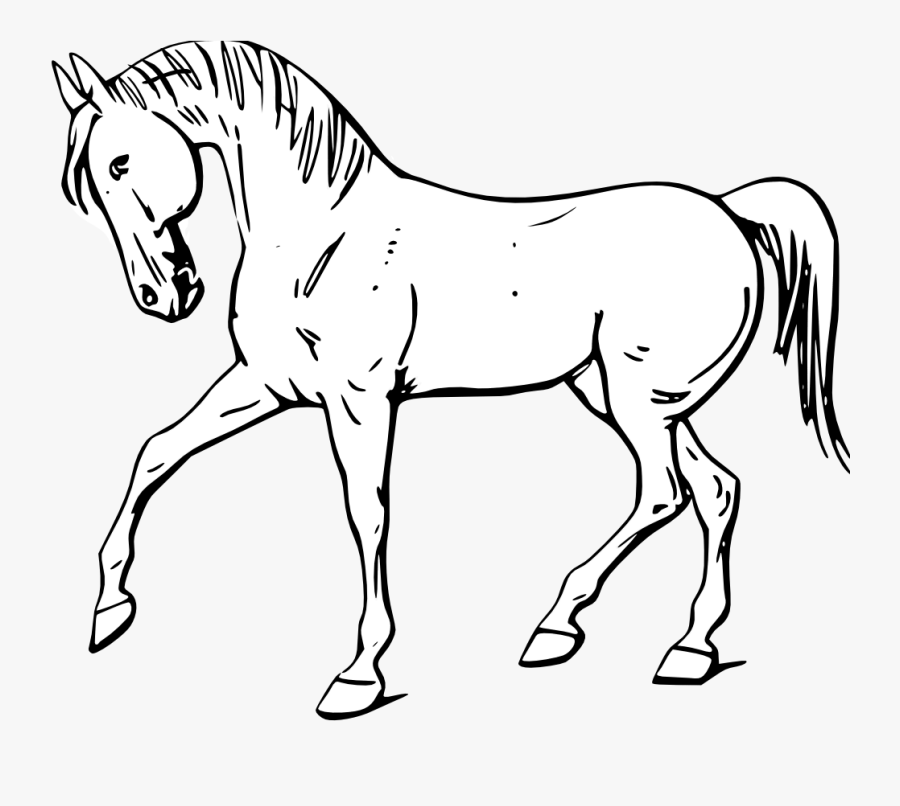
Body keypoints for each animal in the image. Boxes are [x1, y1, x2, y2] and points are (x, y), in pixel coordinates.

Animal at [53, 41, 849, 719]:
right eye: (84, 186)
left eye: (119, 164)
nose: (162, 295)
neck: (320, 235)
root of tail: (731, 213)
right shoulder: (268, 385)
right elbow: (157, 450)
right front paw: (108, 612)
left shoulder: (360, 401)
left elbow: (368, 514)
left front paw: (358, 677)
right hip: (628, 396)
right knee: (715, 491)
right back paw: (685, 649)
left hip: (638, 397)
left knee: (665, 491)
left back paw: (562, 627)